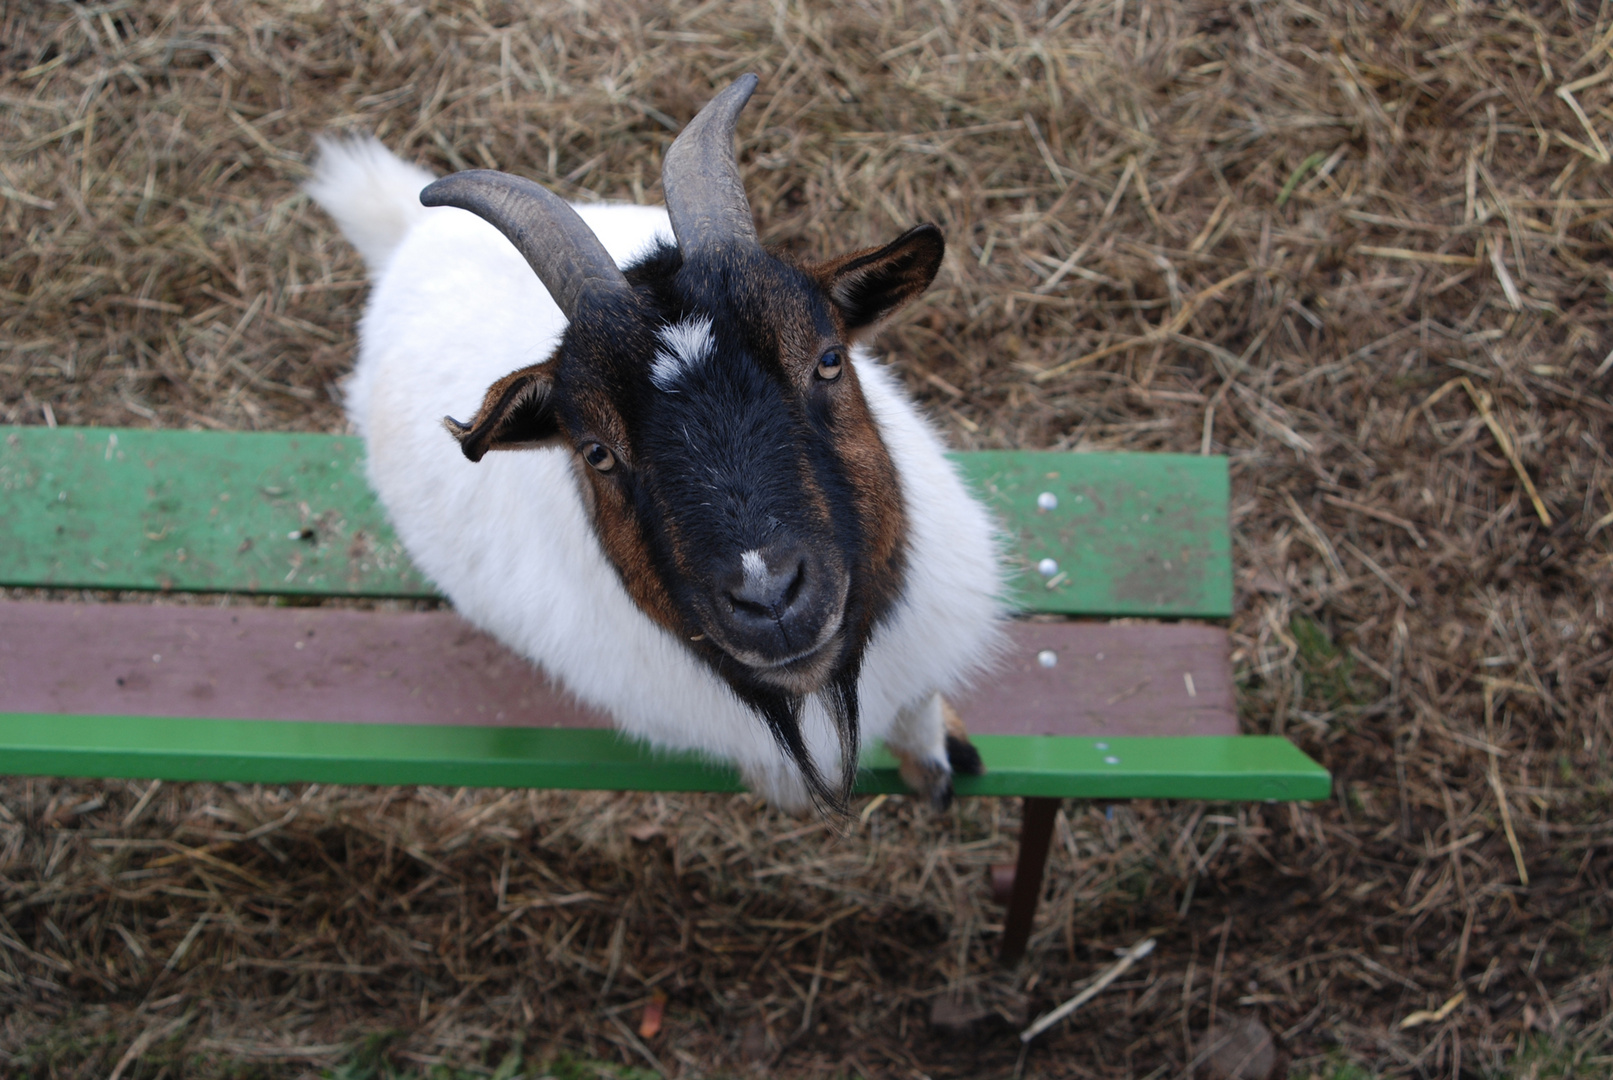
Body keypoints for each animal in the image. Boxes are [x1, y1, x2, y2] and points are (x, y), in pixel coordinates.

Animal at [306, 76, 1000, 815]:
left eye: (829, 360)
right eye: (595, 450)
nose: (769, 601)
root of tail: (412, 235)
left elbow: (919, 705)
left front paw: (937, 761)